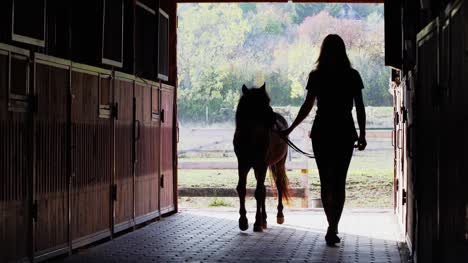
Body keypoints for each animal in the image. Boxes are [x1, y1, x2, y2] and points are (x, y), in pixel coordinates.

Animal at [233, 83, 290, 233]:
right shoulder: (243, 164)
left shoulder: (262, 165)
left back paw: (279, 215)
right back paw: (264, 219)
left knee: (279, 185)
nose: (273, 120)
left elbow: (258, 192)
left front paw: (257, 223)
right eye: (257, 102)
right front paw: (243, 221)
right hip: (257, 168)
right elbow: (242, 189)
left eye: (268, 100)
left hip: (279, 163)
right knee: (264, 189)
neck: (250, 137)